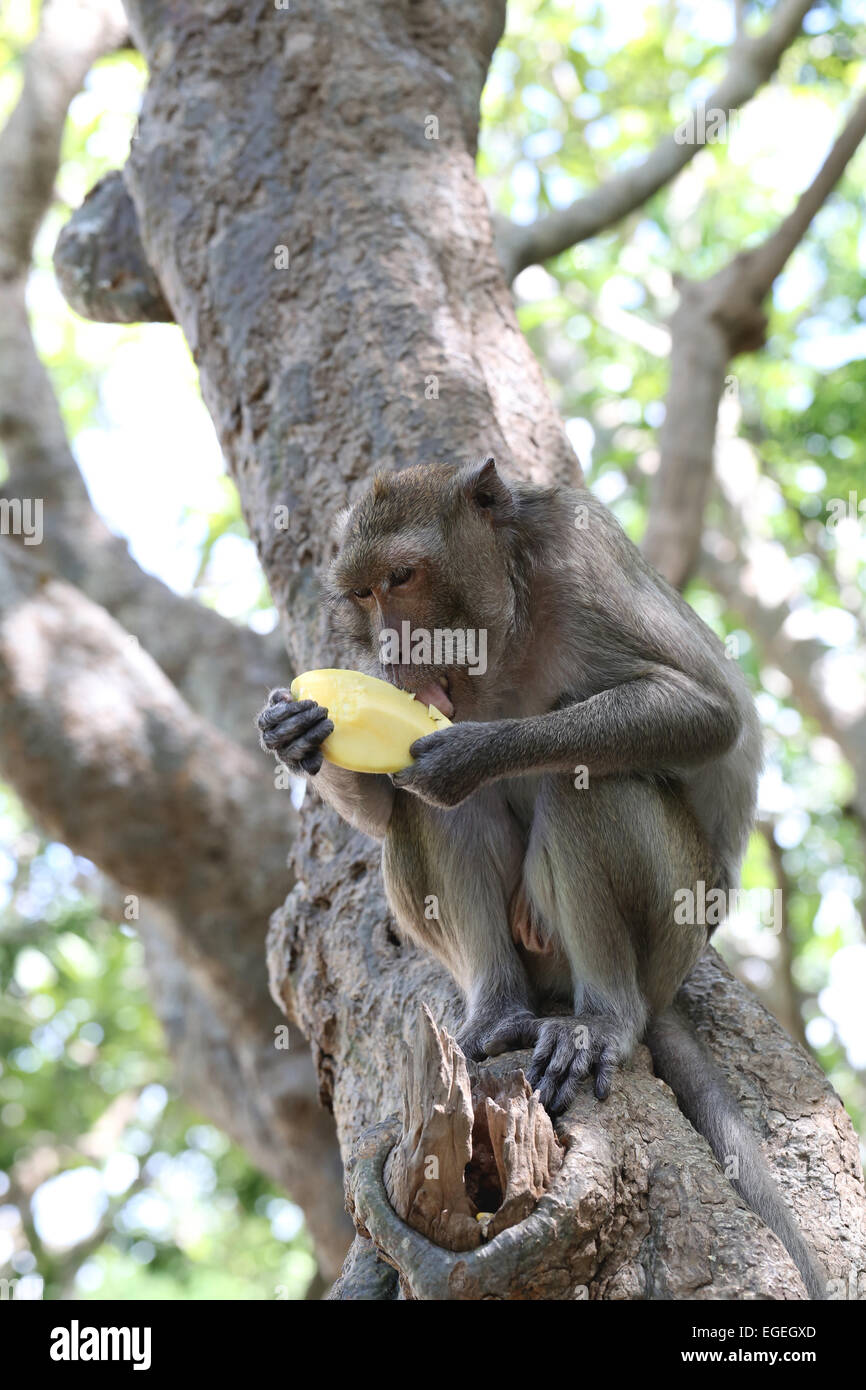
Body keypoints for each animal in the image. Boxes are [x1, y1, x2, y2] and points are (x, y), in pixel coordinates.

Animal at [258, 456, 825, 1298]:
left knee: (588, 778)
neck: (508, 625)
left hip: (675, 924)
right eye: (362, 595)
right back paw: (497, 1010)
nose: (393, 645)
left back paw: (604, 1018)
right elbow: (391, 801)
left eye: (402, 578)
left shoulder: (580, 554)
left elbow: (707, 712)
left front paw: (476, 750)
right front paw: (294, 732)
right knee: (432, 812)